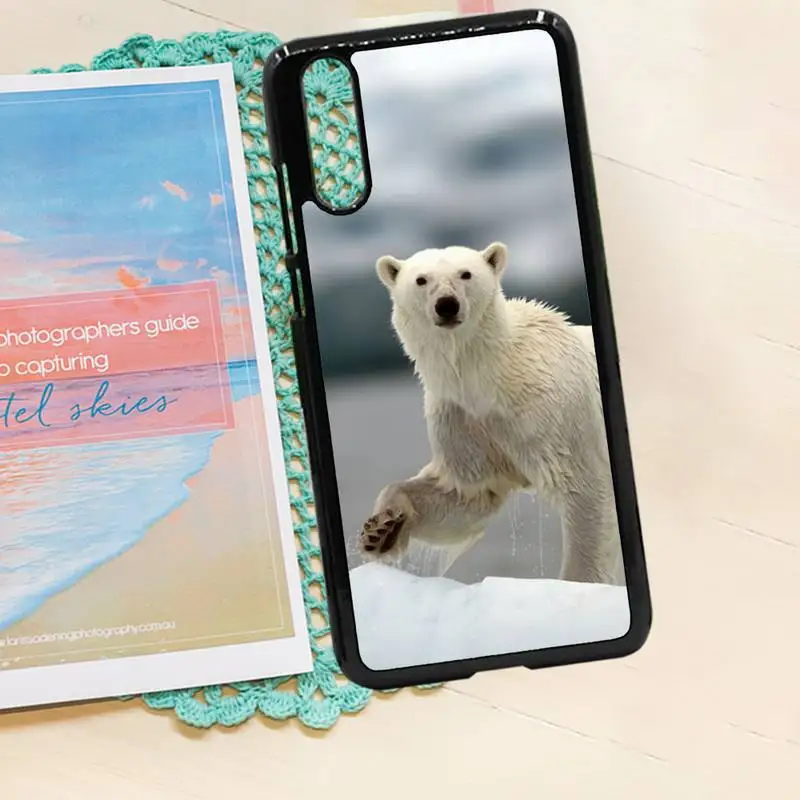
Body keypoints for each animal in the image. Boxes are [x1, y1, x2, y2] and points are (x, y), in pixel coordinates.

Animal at [358, 241, 623, 585]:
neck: (487, 374)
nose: (447, 305)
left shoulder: (555, 413)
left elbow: (585, 490)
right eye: (421, 279)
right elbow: (469, 494)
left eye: (465, 274)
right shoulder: (463, 418)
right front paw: (382, 529)